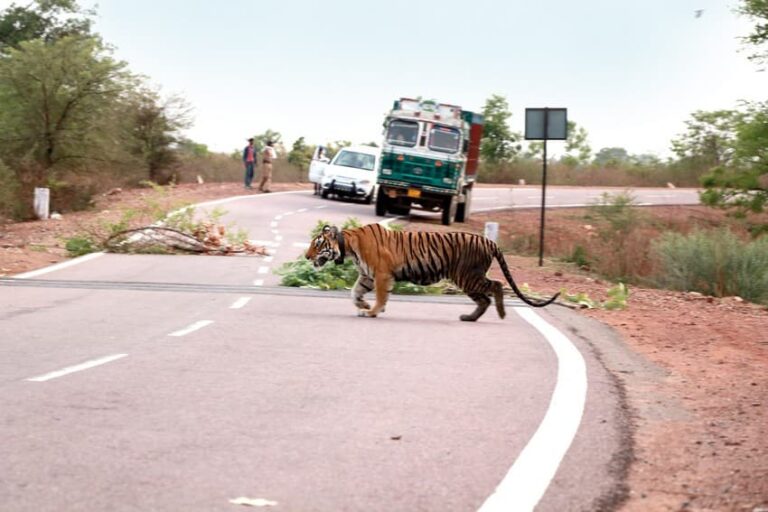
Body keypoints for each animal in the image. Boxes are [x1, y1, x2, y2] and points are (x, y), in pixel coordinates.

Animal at [305, 223, 559, 321]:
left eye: (317, 244)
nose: (306, 257)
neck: (348, 245)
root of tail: (489, 241)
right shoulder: (367, 275)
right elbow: (354, 293)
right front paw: (364, 306)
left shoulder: (381, 275)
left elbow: (380, 296)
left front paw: (373, 310)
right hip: (467, 279)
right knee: (484, 299)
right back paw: (469, 318)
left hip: (467, 276)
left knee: (496, 286)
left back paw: (502, 313)